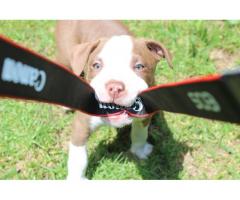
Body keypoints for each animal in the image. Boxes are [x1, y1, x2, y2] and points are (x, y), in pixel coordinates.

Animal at [55, 20, 172, 180]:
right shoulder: (81, 125)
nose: (115, 87)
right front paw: (76, 180)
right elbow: (78, 158)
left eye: (139, 66)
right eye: (96, 65)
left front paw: (139, 151)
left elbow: (140, 134)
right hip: (66, 56)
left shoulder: (144, 116)